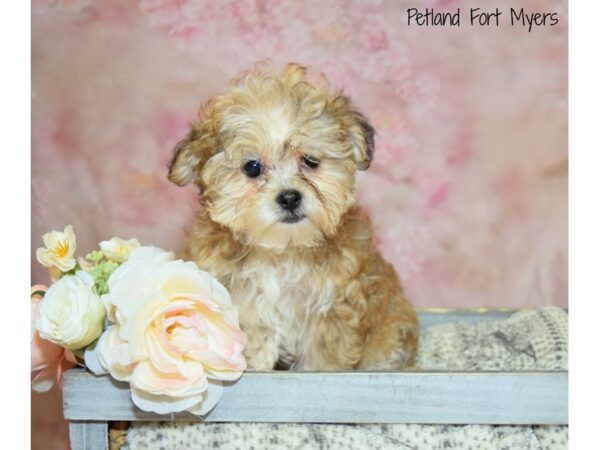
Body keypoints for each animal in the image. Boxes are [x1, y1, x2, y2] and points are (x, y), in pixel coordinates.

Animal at [168, 62, 418, 370]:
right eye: (252, 167)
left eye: (310, 160)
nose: (289, 197)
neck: (282, 250)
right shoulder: (244, 304)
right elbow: (254, 342)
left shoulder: (331, 308)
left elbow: (322, 359)